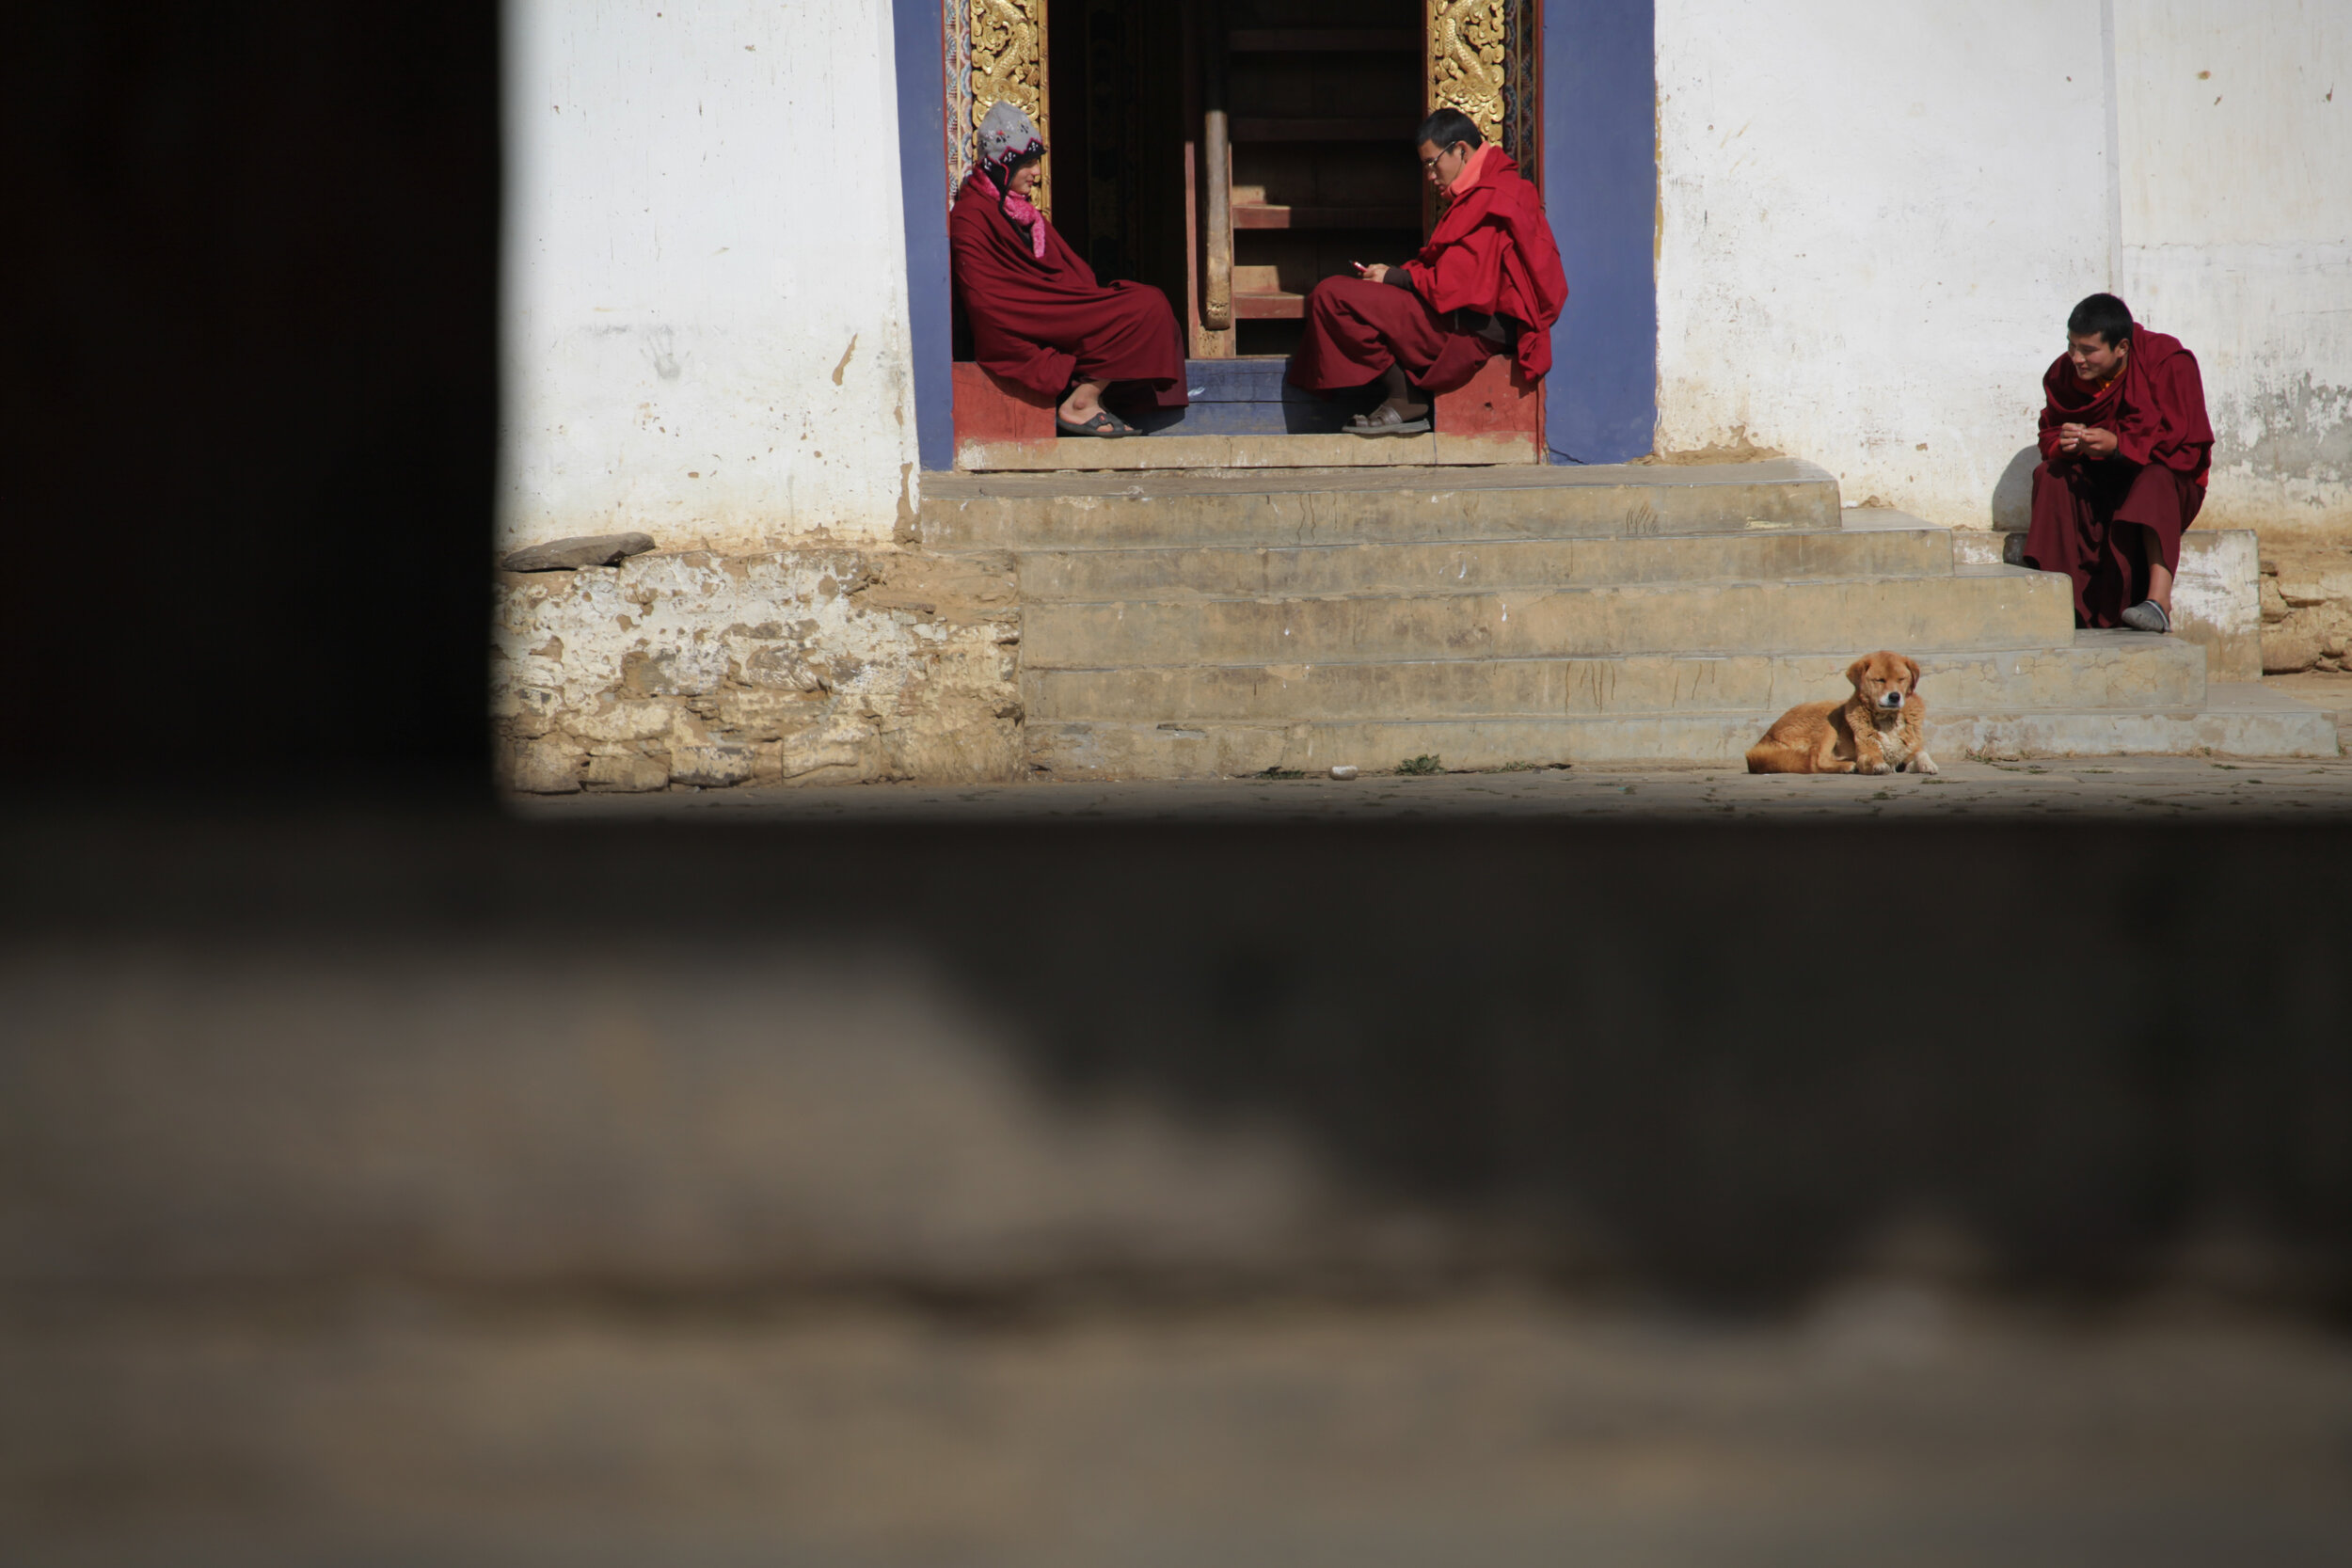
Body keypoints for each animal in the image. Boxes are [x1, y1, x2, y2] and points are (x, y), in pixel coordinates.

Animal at [1740, 648, 1938, 775]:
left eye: (1901, 679)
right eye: (1880, 680)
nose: (1895, 696)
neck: (1888, 720)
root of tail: (1765, 739)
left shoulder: (1908, 751)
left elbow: (1921, 753)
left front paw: (1928, 765)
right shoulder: (1866, 752)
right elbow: (1873, 758)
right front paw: (1878, 766)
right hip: (1828, 716)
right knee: (1815, 761)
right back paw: (1847, 766)